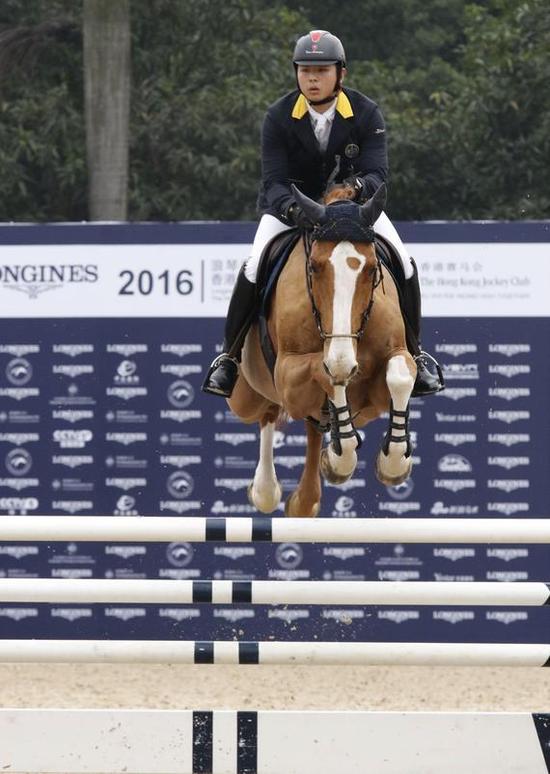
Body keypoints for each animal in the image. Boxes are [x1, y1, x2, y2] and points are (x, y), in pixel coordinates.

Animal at [226, 184, 416, 520]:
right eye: (313, 267)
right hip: (244, 398)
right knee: (267, 413)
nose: (345, 360)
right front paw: (342, 458)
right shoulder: (289, 377)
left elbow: (400, 375)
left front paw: (393, 463)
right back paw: (266, 489)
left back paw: (307, 494)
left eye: (371, 269)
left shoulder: (394, 359)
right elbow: (329, 373)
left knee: (312, 429)